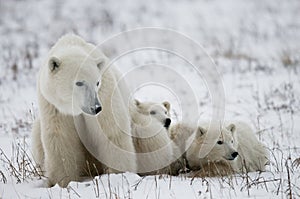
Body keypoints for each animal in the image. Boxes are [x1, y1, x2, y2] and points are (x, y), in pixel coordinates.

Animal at [31, 33, 136, 187]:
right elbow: (61, 140)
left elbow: (110, 133)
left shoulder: (105, 94)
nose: (96, 107)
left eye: (97, 82)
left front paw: (119, 175)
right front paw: (64, 182)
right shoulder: (55, 107)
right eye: (79, 83)